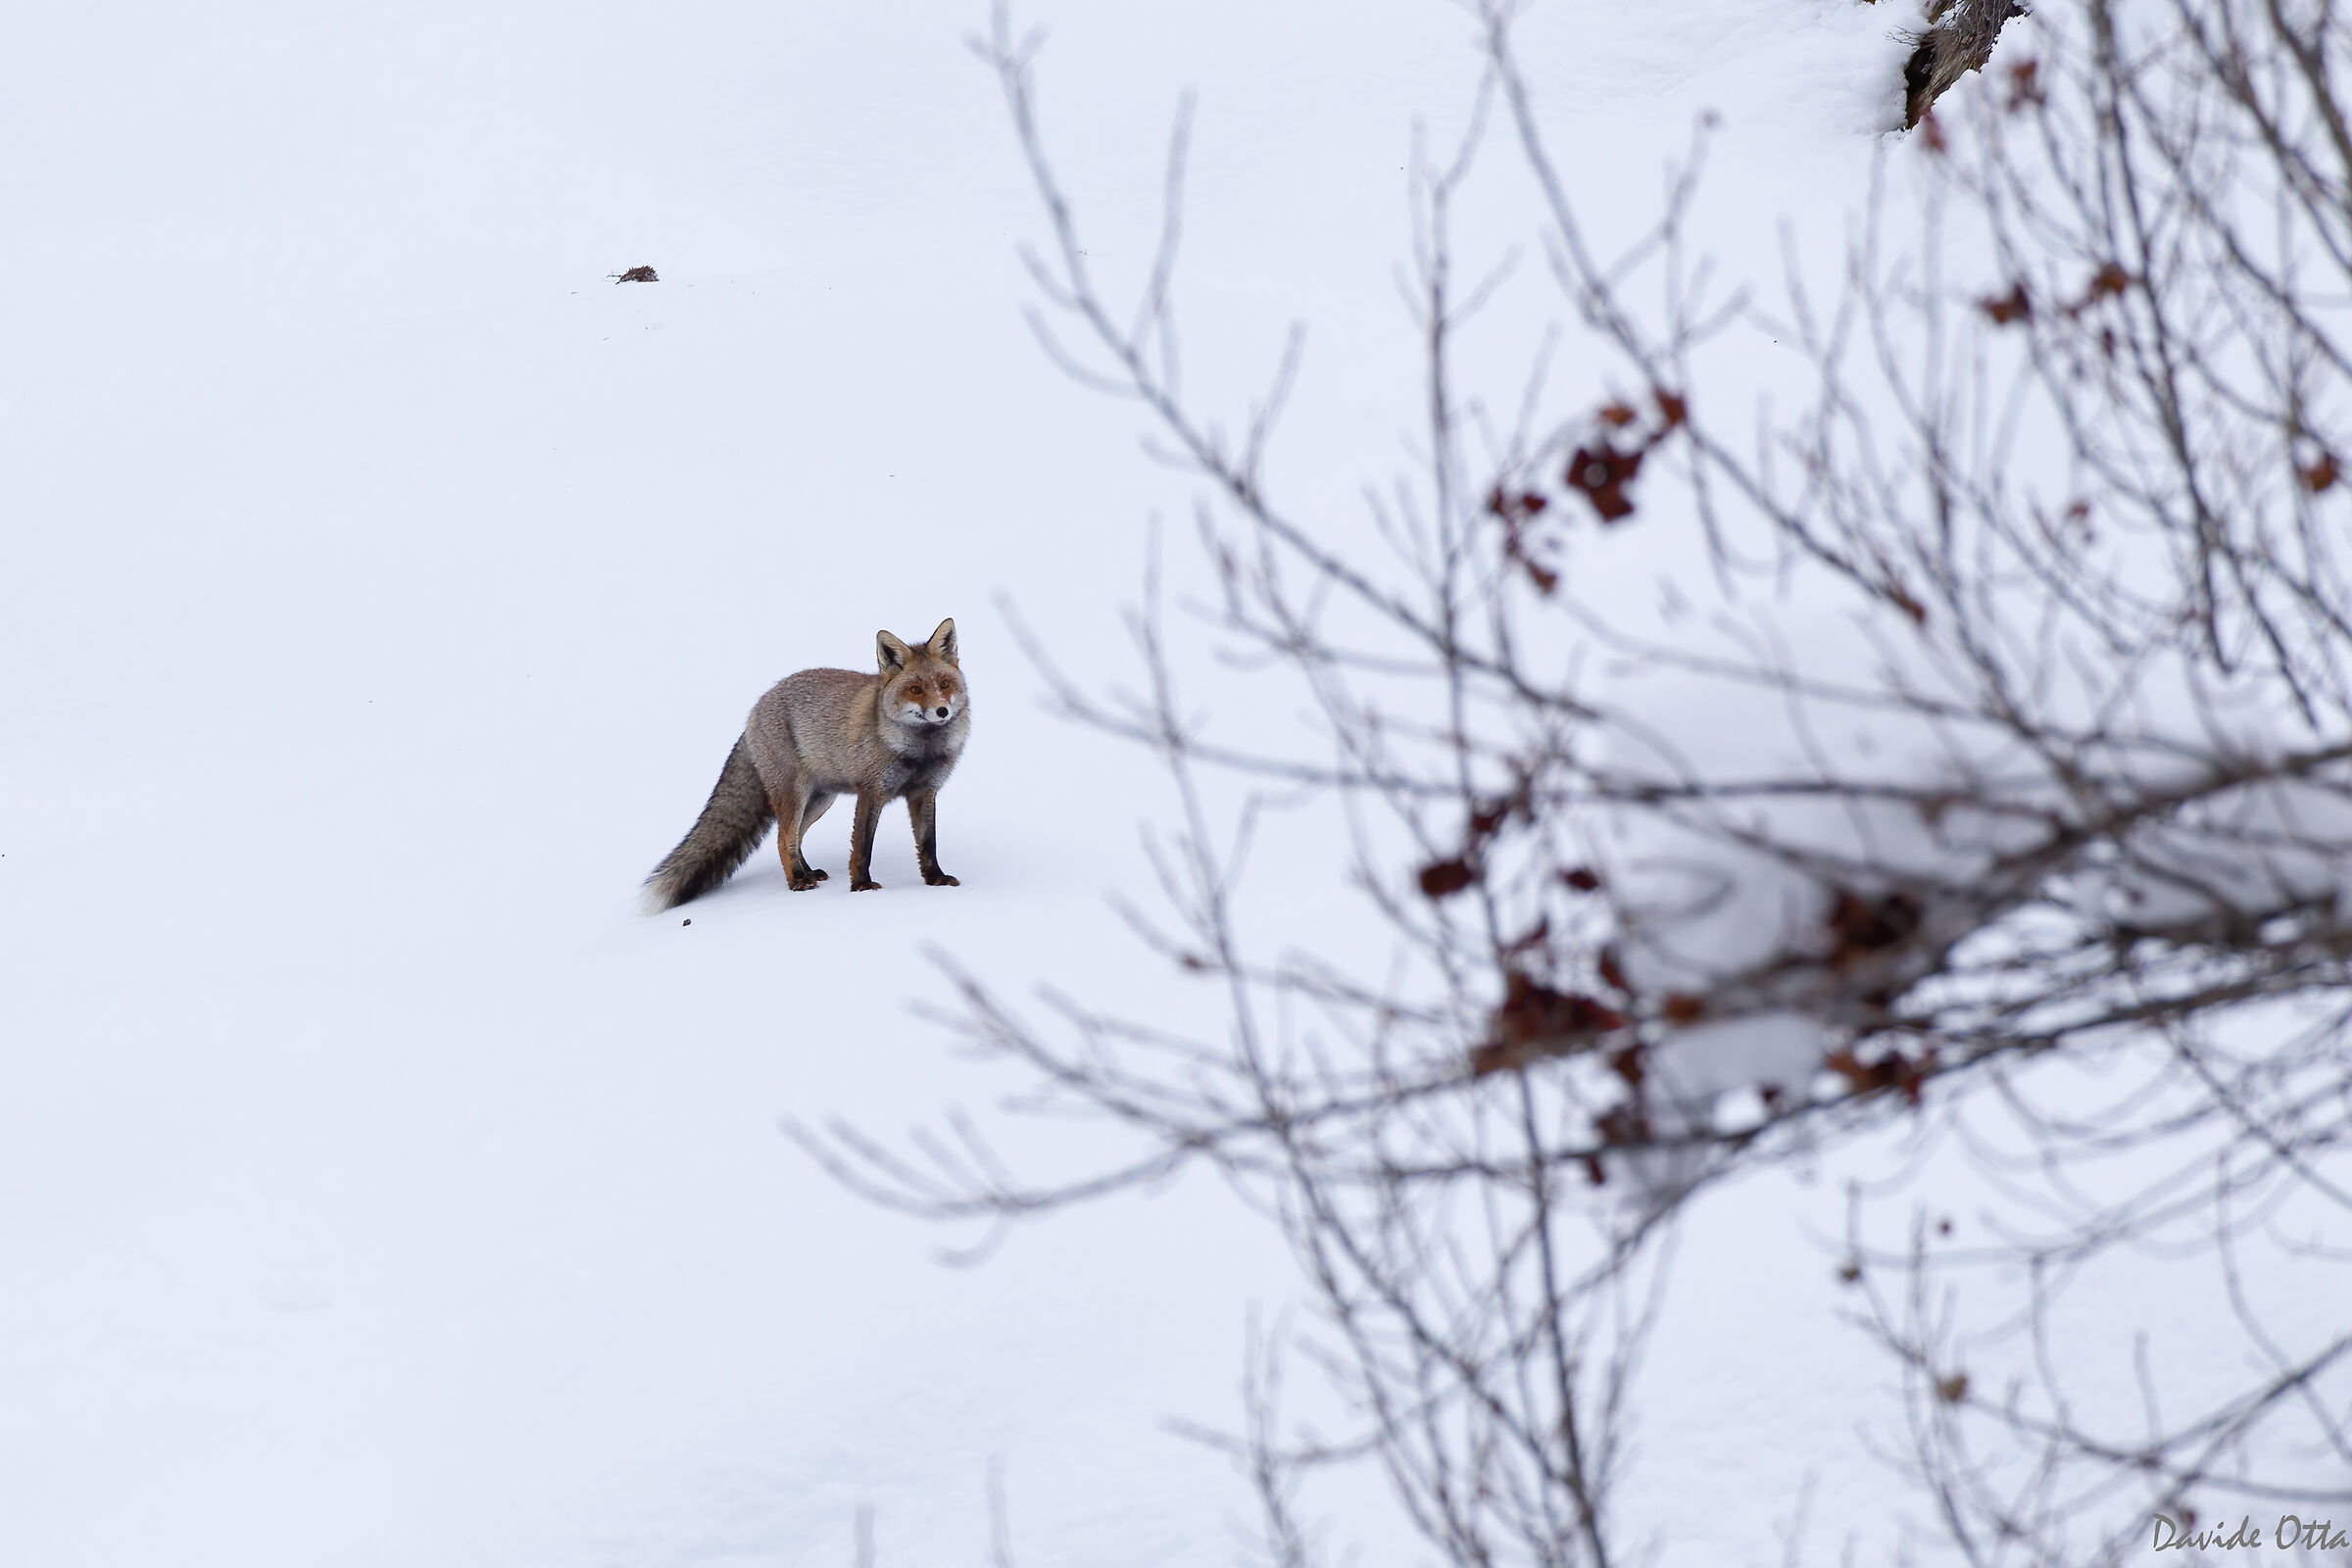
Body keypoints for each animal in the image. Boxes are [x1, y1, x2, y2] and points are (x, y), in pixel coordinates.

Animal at [642, 618, 970, 910]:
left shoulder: (924, 793)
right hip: (795, 794)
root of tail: (756, 709)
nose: (942, 711)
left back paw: (807, 872)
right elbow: (862, 848)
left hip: (820, 800)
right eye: (915, 689)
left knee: (796, 837)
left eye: (944, 684)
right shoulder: (871, 791)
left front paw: (935, 880)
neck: (920, 751)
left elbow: (928, 844)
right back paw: (797, 881)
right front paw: (862, 887)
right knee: (783, 837)